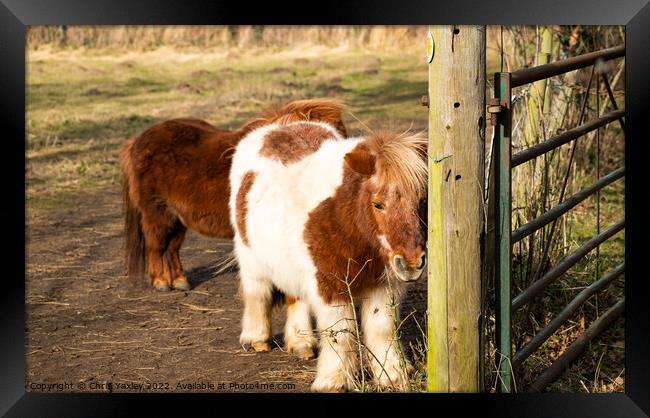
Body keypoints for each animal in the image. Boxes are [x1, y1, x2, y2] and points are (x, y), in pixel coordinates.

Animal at [228, 121, 426, 392]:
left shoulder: (383, 286)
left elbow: (383, 329)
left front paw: (393, 376)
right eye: (378, 204)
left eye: (421, 200)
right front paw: (334, 381)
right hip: (251, 260)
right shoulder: (330, 286)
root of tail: (275, 127)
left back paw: (301, 343)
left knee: (295, 298)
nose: (412, 264)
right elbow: (340, 334)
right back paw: (256, 338)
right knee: (257, 294)